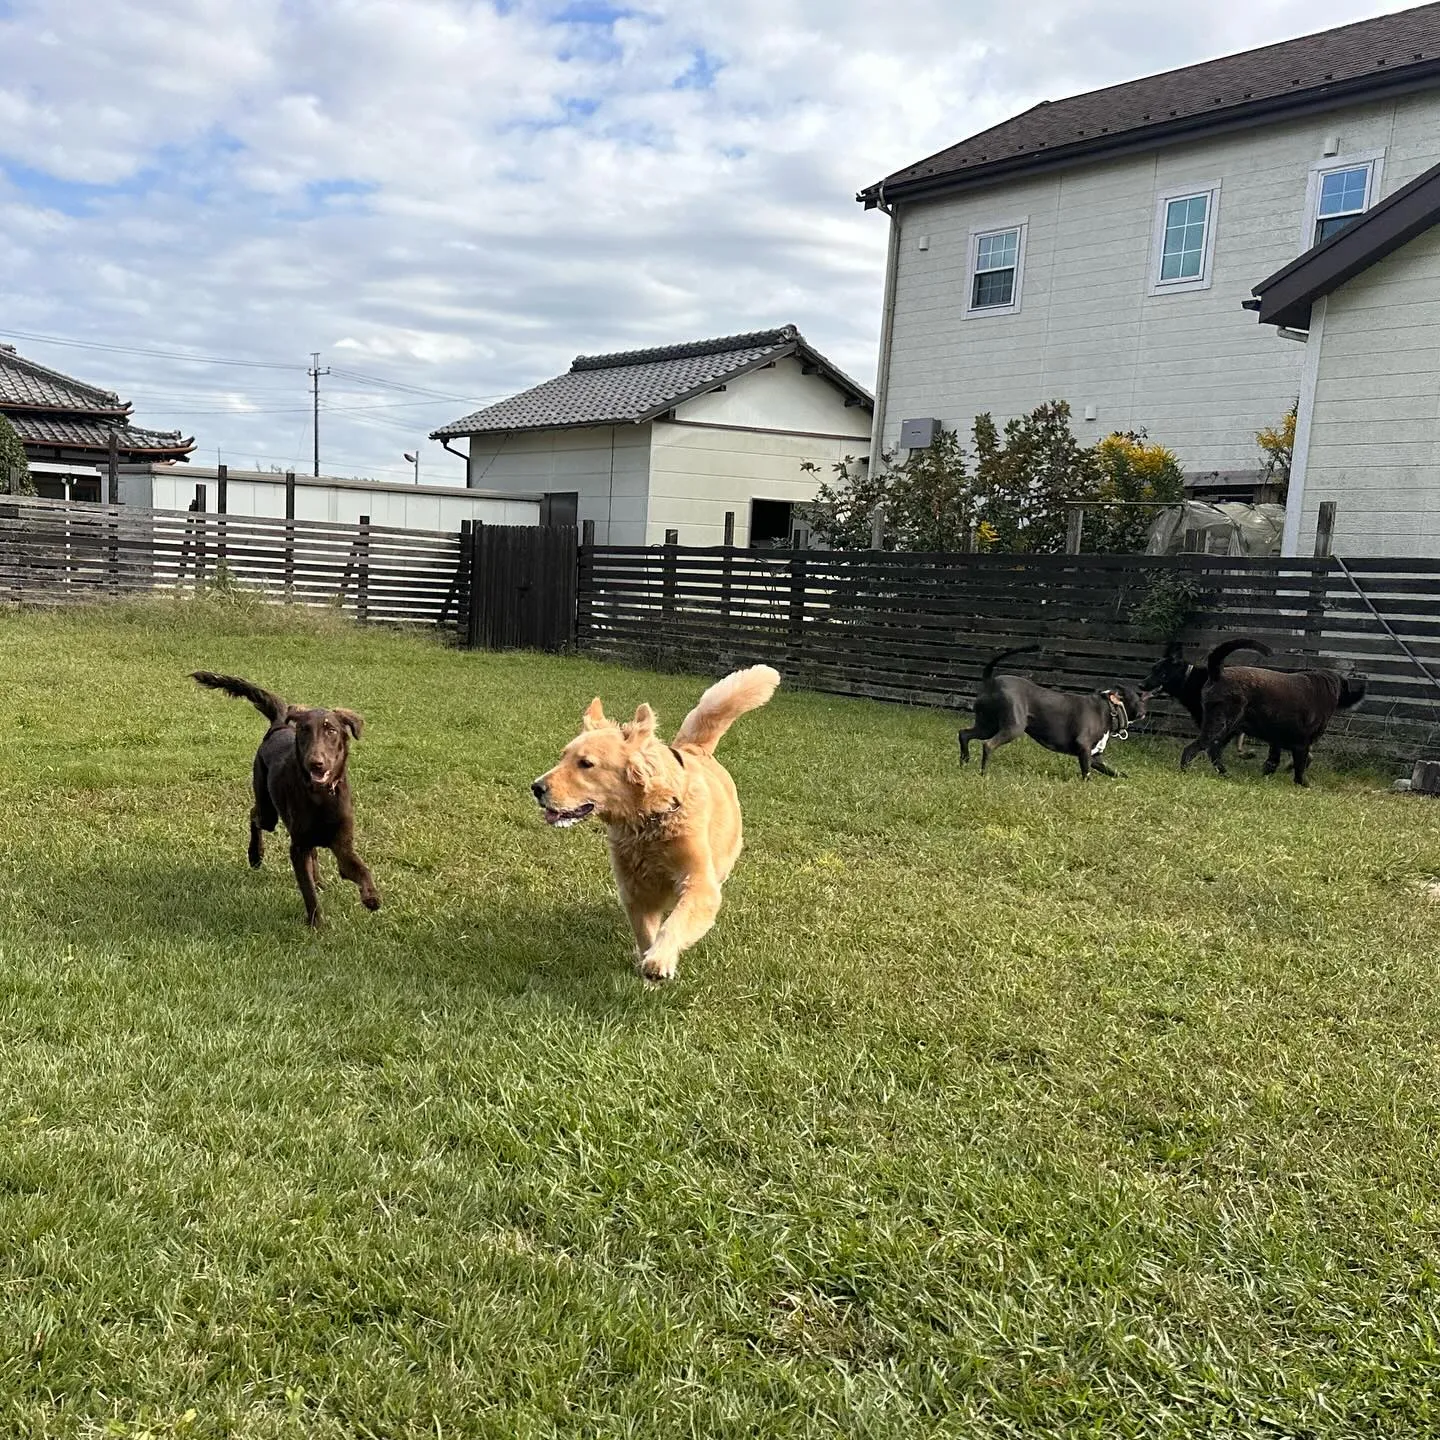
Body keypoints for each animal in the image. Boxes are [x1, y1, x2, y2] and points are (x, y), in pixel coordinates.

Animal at [192, 671, 383, 927]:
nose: (316, 763)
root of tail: (279, 725)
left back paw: (320, 880)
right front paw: (316, 924)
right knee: (254, 815)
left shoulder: (342, 844)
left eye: (331, 730)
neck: (320, 796)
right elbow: (307, 891)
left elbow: (361, 869)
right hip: (268, 812)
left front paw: (371, 897)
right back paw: (255, 855)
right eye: (304, 730)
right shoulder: (298, 847)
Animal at [956, 648, 1146, 777]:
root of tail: (991, 681)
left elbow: (1112, 772)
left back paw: (964, 762)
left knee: (964, 734)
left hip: (987, 725)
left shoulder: (1094, 756)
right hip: (1012, 728)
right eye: (1139, 699)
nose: (1145, 711)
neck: (1110, 709)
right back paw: (983, 773)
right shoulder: (1084, 748)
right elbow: (1086, 774)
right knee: (988, 745)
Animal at [1175, 642, 1365, 789]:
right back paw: (1185, 770)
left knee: (1213, 751)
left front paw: (1269, 772)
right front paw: (1302, 783)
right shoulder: (1301, 743)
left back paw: (1225, 774)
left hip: (1228, 730)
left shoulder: (1279, 739)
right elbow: (1301, 764)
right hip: (1220, 726)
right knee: (1193, 749)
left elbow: (1279, 758)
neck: (1326, 688)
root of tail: (1218, 673)